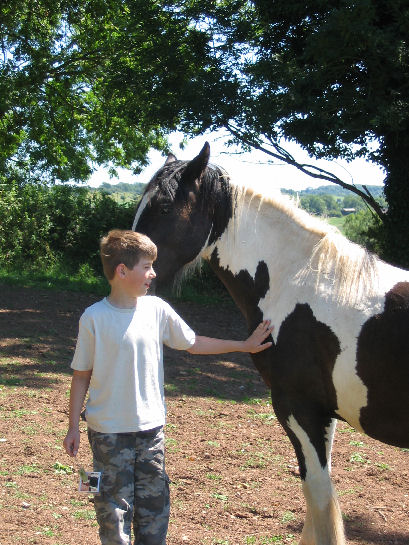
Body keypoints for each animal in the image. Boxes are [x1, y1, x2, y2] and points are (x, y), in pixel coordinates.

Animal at [133, 141, 408, 544]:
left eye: (165, 207)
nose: (118, 264)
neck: (301, 283)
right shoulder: (323, 414)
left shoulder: (299, 408)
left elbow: (319, 496)